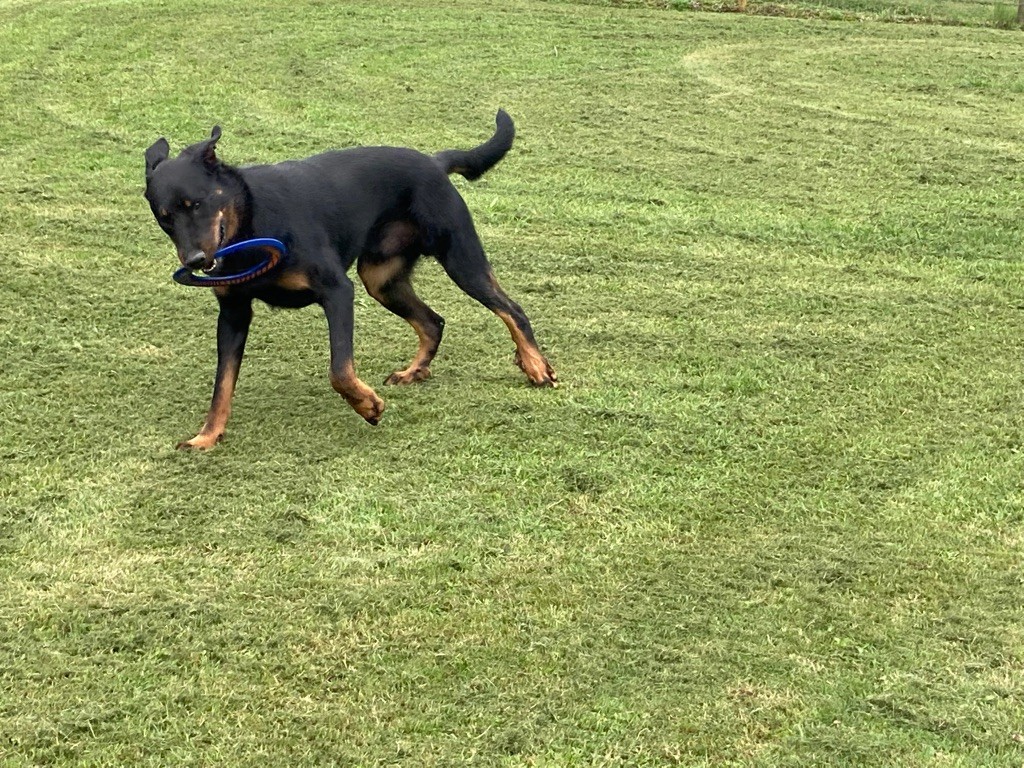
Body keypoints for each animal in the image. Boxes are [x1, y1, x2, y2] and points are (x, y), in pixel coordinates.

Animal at [145, 111, 557, 454]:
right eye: (165, 217)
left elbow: (340, 371)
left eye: (195, 204)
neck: (250, 220)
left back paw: (536, 365)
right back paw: (414, 371)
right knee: (433, 322)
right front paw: (206, 436)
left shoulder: (338, 292)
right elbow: (222, 385)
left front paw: (367, 406)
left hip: (460, 260)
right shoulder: (233, 315)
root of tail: (434, 162)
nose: (195, 261)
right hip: (381, 279)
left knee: (512, 309)